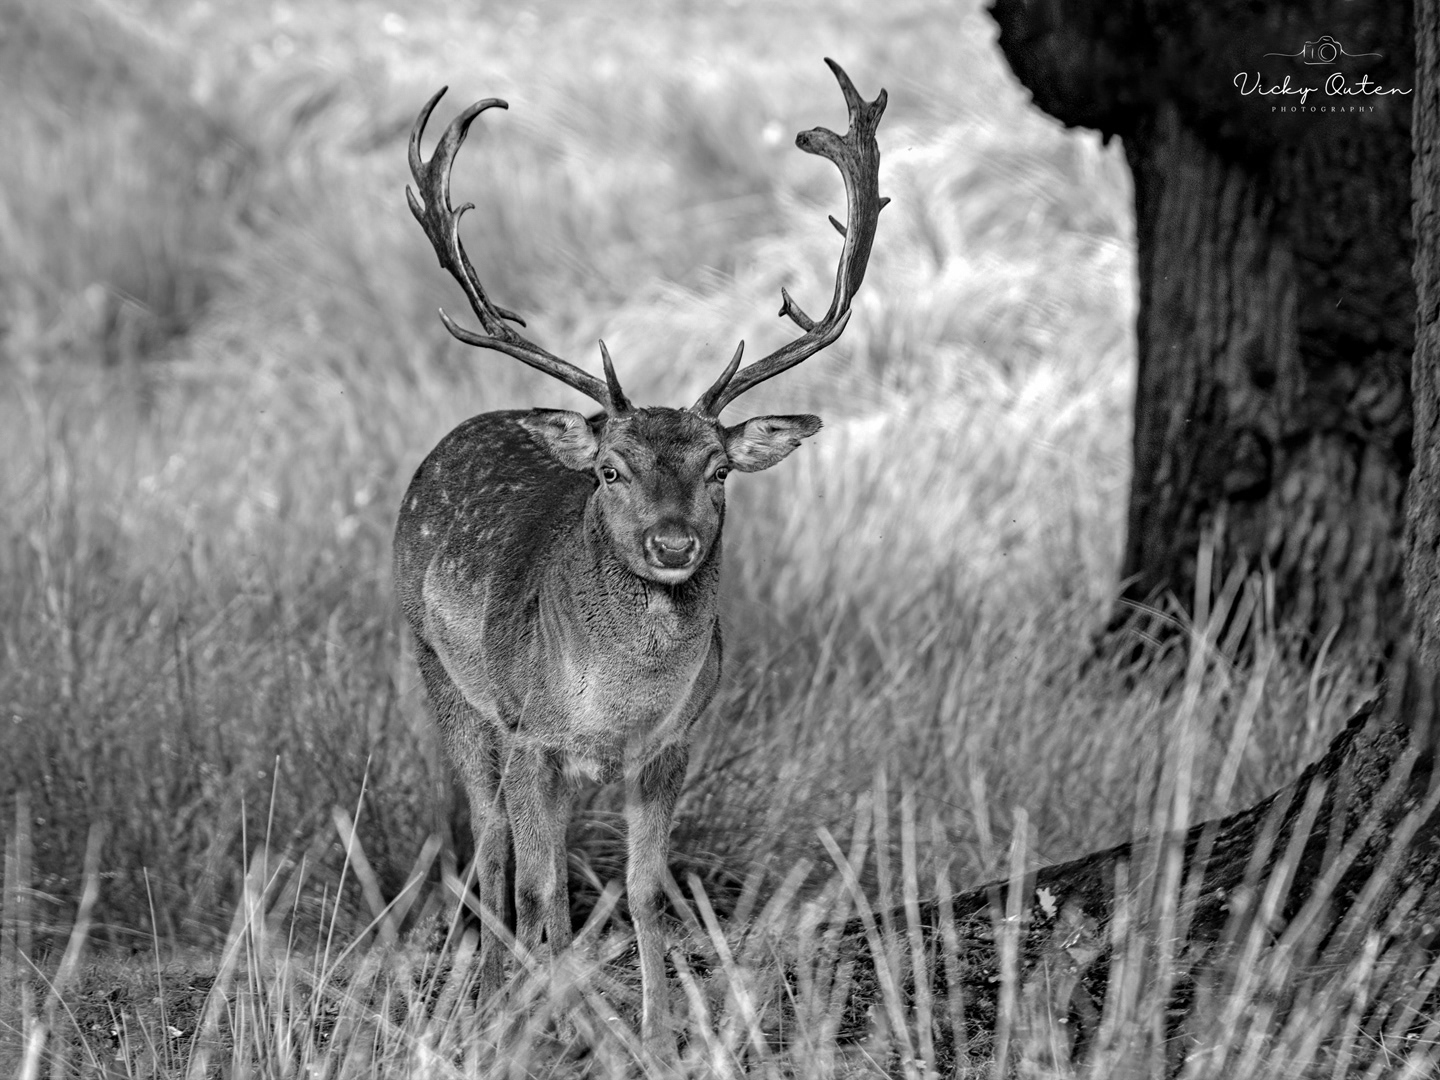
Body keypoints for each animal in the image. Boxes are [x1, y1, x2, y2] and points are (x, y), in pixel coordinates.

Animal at [393, 59, 887, 1048]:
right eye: (611, 471)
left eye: (720, 469)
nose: (673, 541)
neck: (611, 710)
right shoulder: (533, 734)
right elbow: (544, 883)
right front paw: (557, 1020)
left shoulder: (672, 747)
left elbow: (645, 891)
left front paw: (656, 1031)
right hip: (440, 670)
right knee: (491, 841)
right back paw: (493, 990)